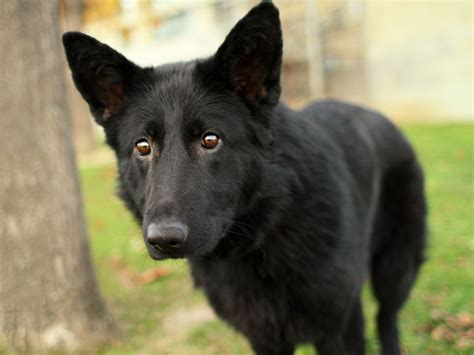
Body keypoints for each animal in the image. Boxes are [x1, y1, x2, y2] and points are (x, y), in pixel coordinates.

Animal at [62, 2, 426, 355]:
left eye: (210, 139)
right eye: (142, 146)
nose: (164, 239)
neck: (258, 240)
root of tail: (380, 116)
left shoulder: (341, 329)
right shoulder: (264, 338)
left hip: (395, 270)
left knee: (387, 319)